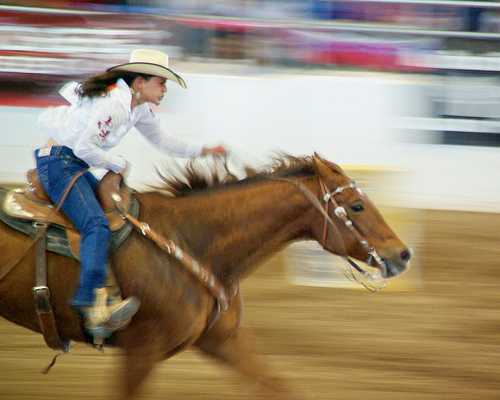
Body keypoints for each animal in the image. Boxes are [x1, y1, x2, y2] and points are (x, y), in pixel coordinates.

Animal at [0, 152, 410, 396]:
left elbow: (274, 385)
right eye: (356, 206)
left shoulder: (224, 340)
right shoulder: (141, 351)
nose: (403, 255)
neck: (196, 242)